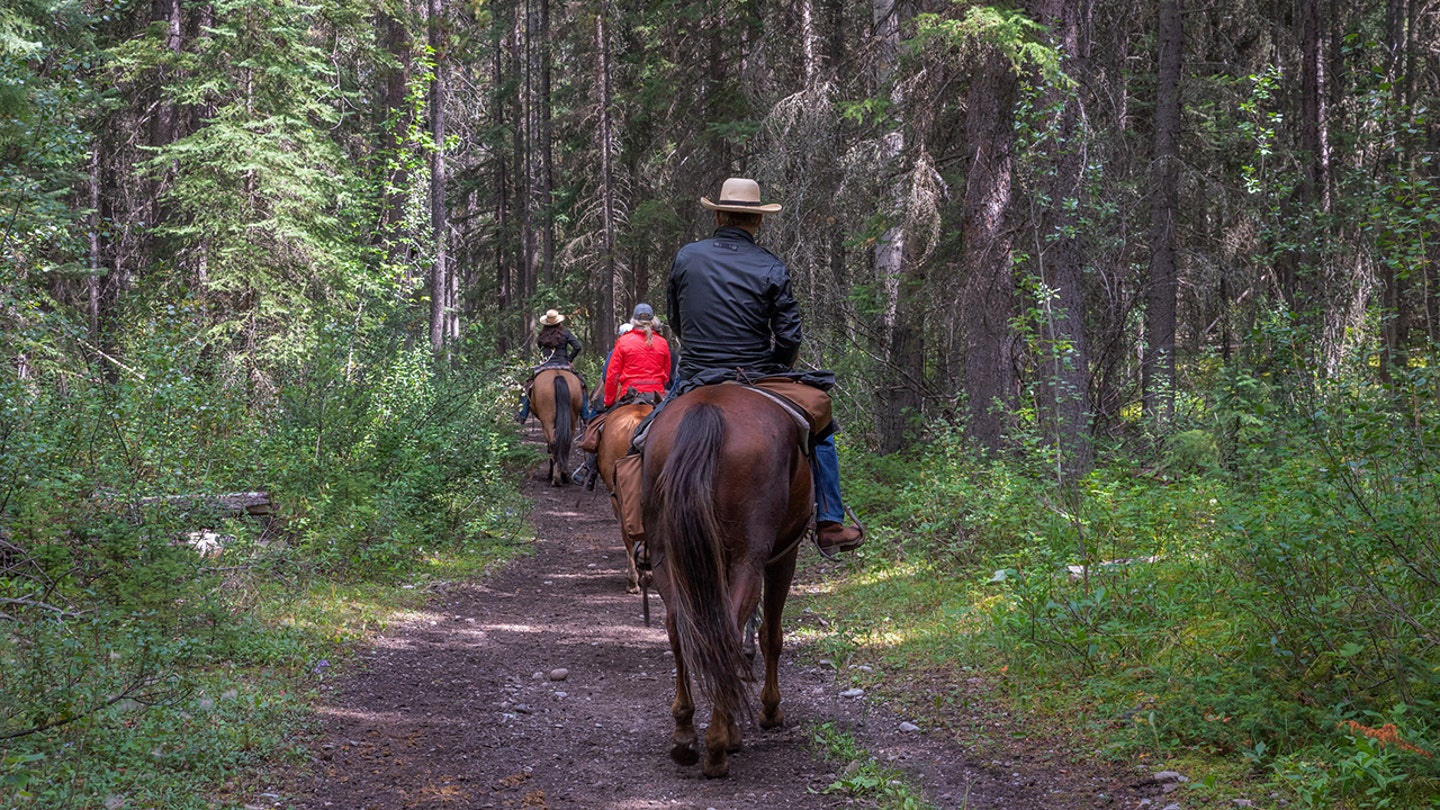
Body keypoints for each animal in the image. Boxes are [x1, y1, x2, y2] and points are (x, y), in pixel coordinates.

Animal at [639, 383, 812, 778]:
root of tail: (709, 409)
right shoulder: (783, 555)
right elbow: (771, 635)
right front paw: (769, 710)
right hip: (750, 556)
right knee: (730, 632)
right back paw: (719, 746)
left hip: (666, 553)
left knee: (683, 628)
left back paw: (685, 733)